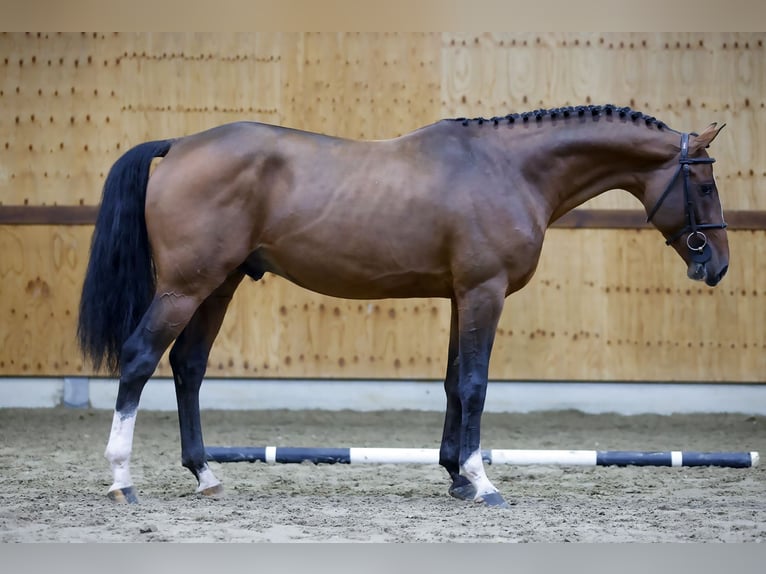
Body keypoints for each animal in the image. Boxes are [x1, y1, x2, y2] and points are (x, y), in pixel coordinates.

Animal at [78, 104, 732, 508]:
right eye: (703, 184)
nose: (717, 266)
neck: (510, 170)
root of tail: (178, 146)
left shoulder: (462, 295)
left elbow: (453, 383)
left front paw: (456, 477)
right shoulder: (484, 292)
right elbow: (475, 385)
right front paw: (481, 482)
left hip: (220, 284)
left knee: (188, 367)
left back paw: (206, 475)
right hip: (185, 286)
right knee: (139, 359)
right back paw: (121, 479)